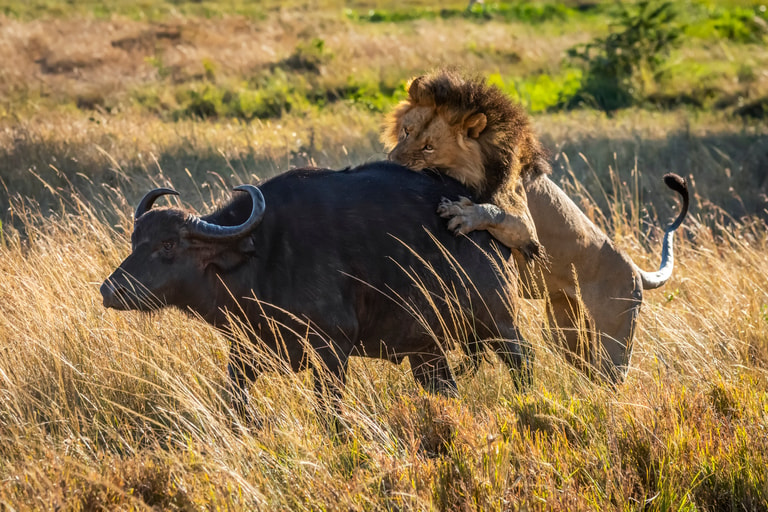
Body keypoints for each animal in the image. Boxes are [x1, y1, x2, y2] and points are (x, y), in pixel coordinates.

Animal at [102, 162, 532, 414]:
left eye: (169, 245)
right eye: (135, 240)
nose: (110, 291)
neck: (261, 256)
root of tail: (489, 227)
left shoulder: (332, 351)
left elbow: (330, 415)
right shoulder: (245, 351)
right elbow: (235, 404)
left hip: (500, 324)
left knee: (522, 362)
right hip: (427, 351)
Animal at [384, 71, 688, 384]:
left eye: (429, 147)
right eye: (406, 131)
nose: (392, 162)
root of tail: (634, 268)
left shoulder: (526, 225)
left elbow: (495, 212)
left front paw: (462, 214)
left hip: (614, 335)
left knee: (611, 376)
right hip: (562, 331)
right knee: (587, 366)